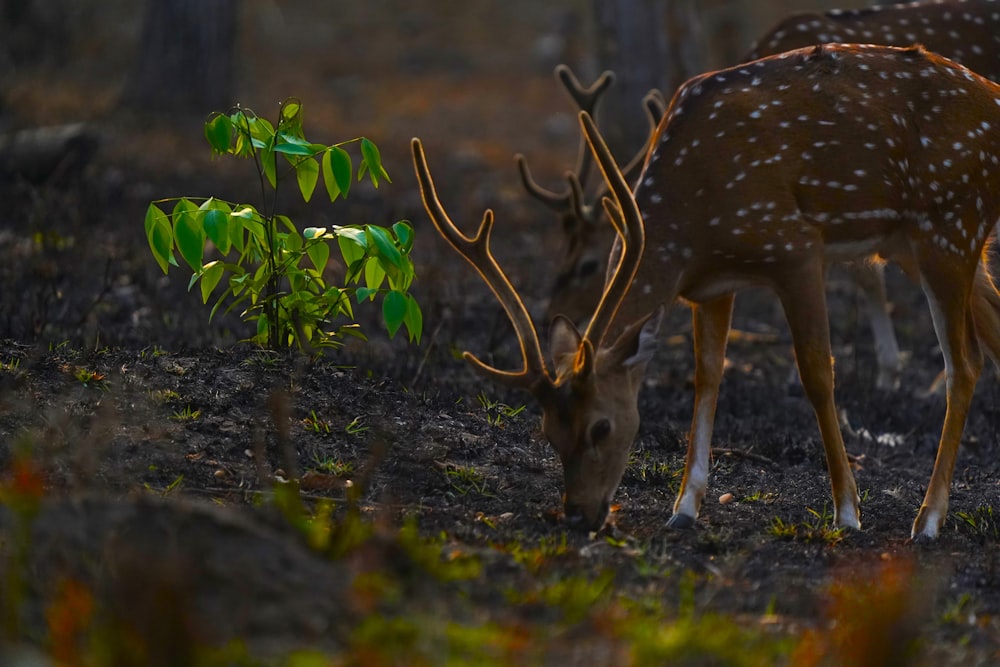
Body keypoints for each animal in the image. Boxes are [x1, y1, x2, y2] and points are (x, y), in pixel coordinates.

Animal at [412, 43, 1000, 544]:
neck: (690, 222)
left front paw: (847, 512)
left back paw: (928, 521)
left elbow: (817, 374)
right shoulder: (711, 284)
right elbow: (708, 374)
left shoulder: (793, 246)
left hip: (950, 226)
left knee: (964, 363)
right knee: (988, 335)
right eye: (547, 433)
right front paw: (684, 507)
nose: (578, 514)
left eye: (601, 426)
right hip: (922, 243)